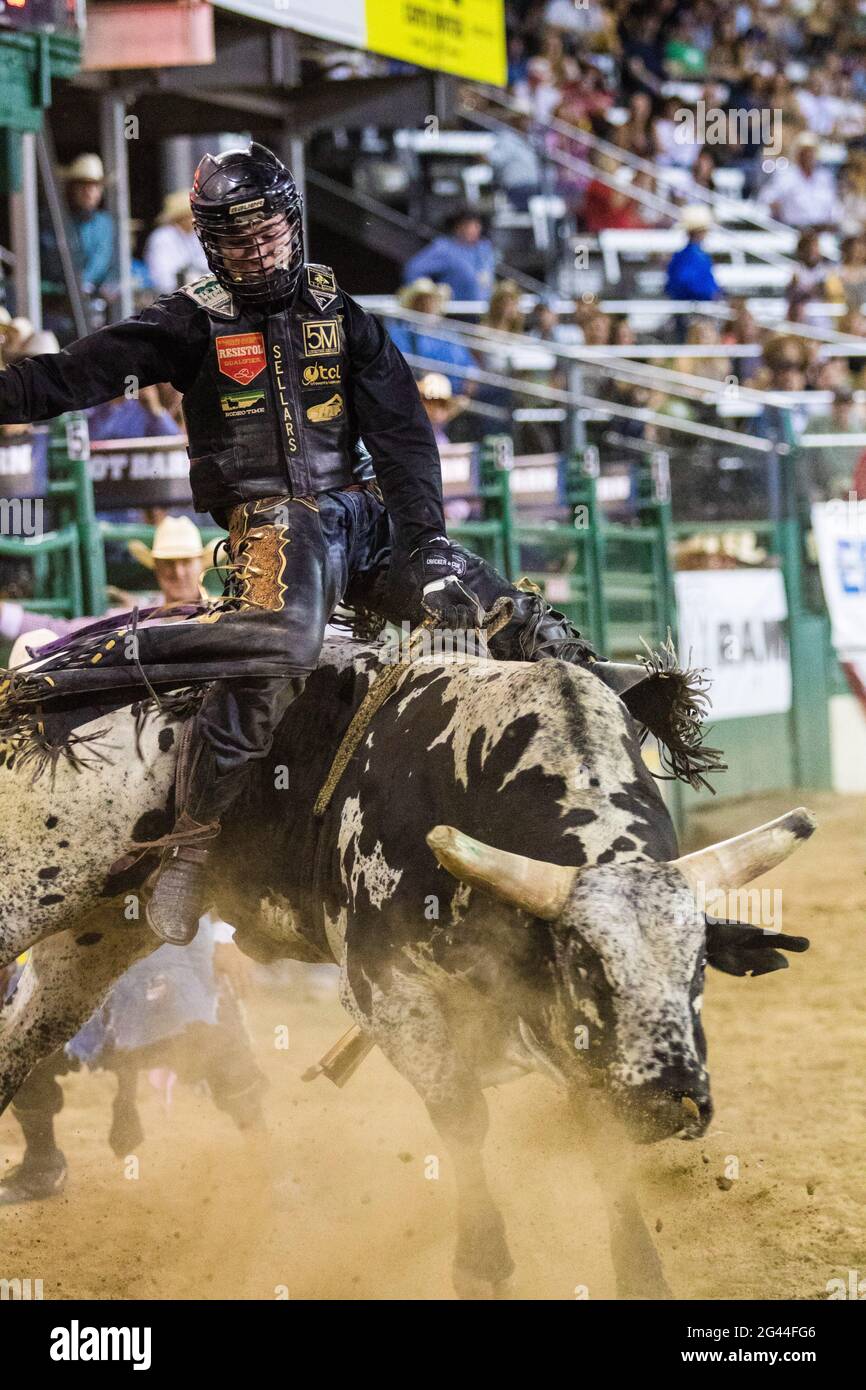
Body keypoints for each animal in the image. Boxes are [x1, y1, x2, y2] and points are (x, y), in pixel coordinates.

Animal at [0, 639, 811, 1301]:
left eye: (698, 965)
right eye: (586, 964)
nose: (672, 1101)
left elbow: (598, 1135)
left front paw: (641, 1272)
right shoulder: (387, 992)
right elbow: (464, 1119)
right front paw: (483, 1265)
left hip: (97, 934)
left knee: (20, 1043)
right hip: (25, 895)